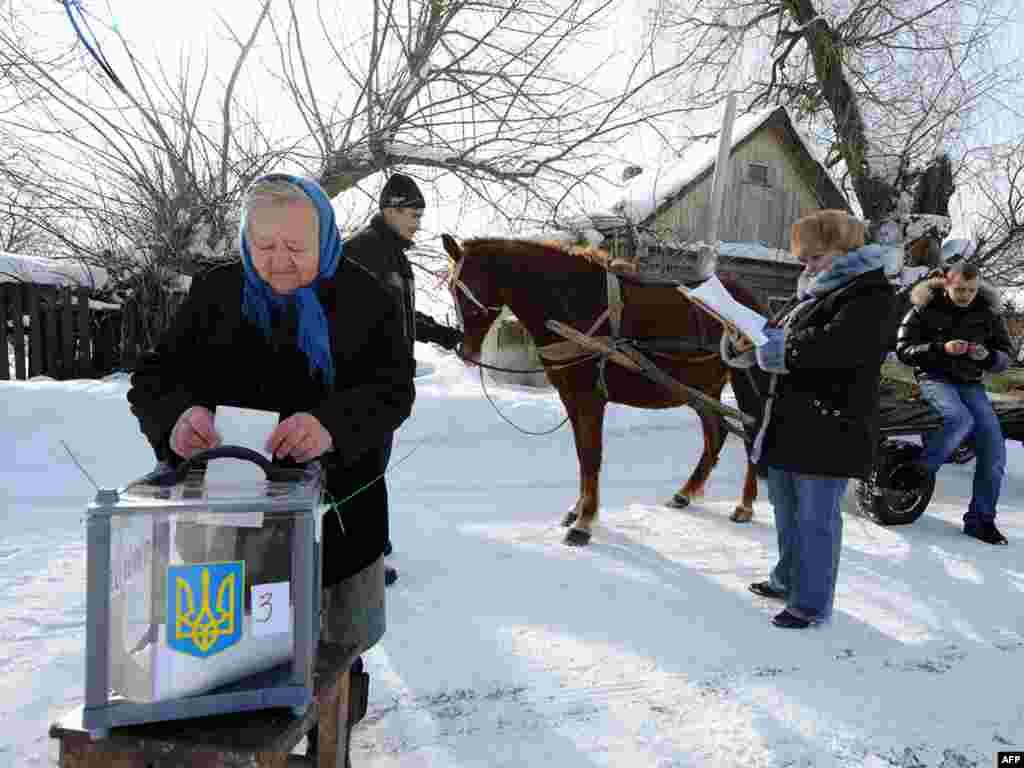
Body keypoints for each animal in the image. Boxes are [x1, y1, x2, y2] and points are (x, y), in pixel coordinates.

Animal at [440, 234, 770, 548]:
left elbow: (591, 456)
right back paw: (686, 493)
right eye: (453, 288)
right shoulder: (572, 397)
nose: (464, 350)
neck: (573, 304)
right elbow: (582, 456)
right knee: (717, 432)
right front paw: (577, 510)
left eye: (470, 288)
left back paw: (745, 505)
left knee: (753, 434)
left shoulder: (590, 398)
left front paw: (584, 522)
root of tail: (756, 302)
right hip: (702, 388)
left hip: (745, 382)